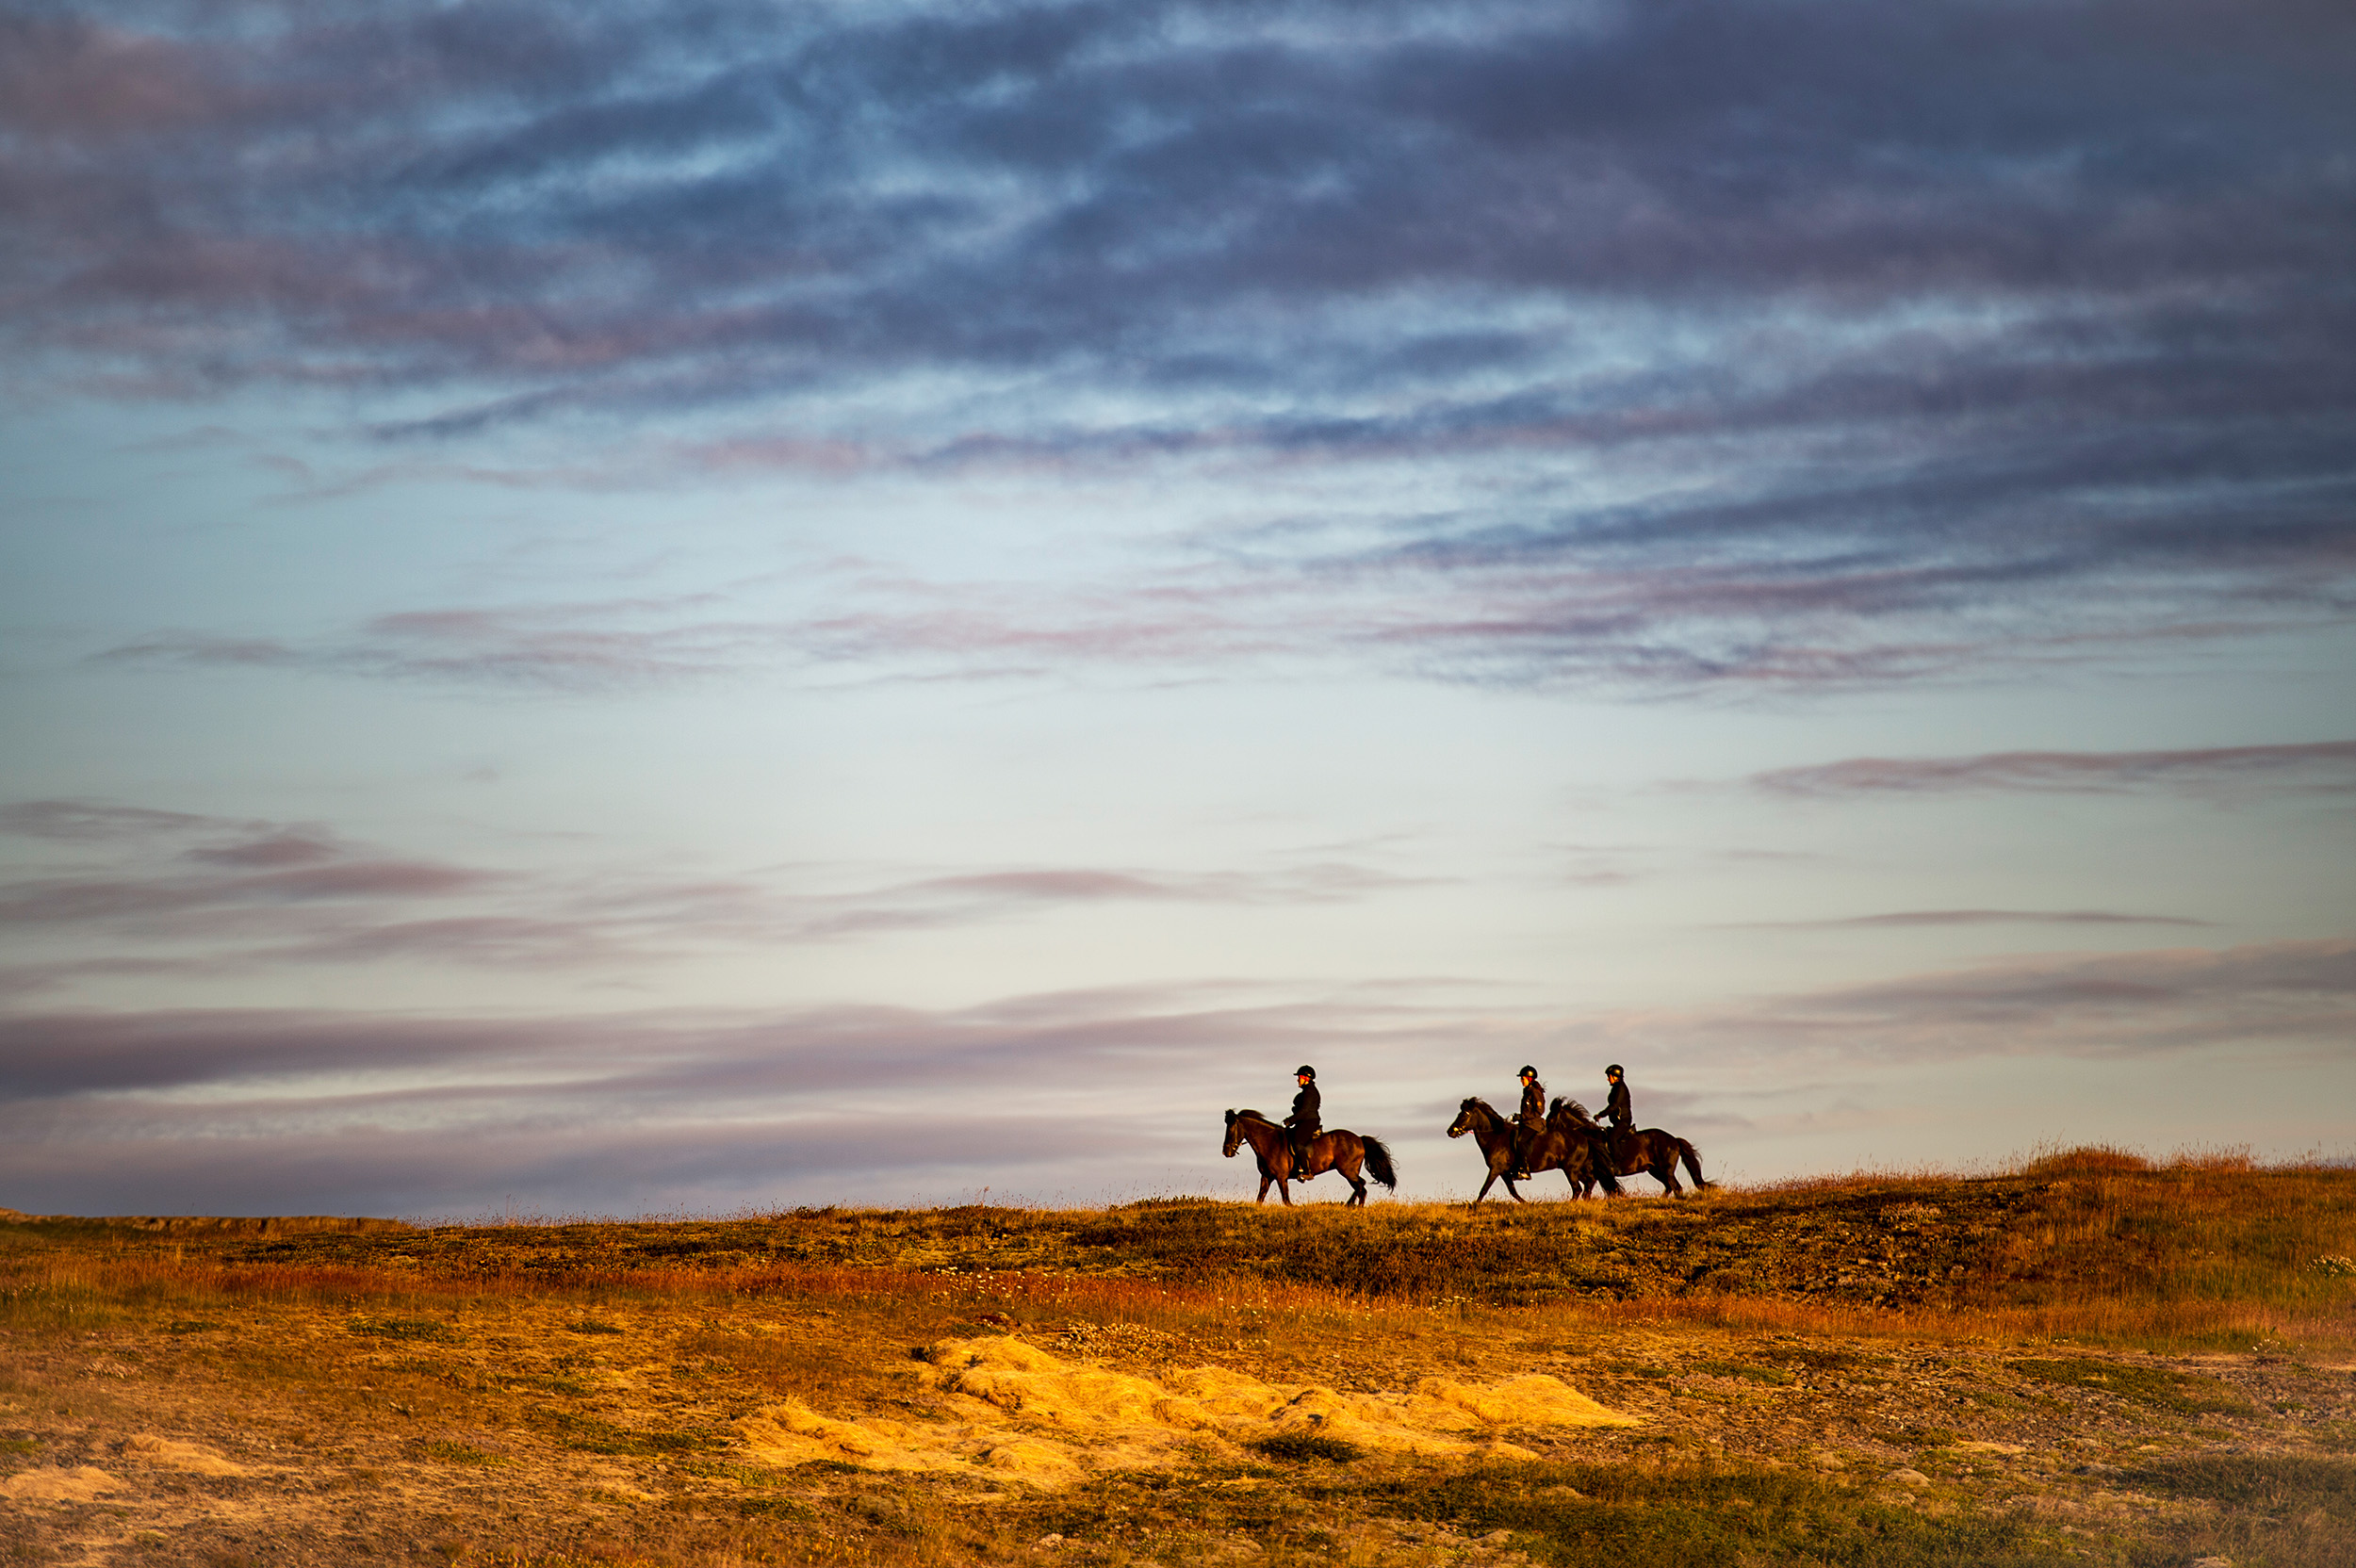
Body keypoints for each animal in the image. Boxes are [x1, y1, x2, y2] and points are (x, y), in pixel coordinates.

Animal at [1222, 1109, 1397, 1207]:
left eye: (1231, 1128)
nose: (1226, 1152)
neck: (1269, 1142)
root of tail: (1359, 1139)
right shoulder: (1267, 1176)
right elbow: (1260, 1199)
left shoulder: (1280, 1177)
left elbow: (1286, 1201)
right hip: (1348, 1171)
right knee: (1360, 1187)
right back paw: (1349, 1205)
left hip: (1347, 1170)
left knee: (1361, 1186)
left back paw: (1355, 1207)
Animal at [1445, 1097, 1614, 1203]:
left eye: (1465, 1114)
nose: (1450, 1132)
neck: (1496, 1136)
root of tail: (1584, 1136)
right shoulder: (1504, 1171)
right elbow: (1513, 1192)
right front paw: (1527, 1203)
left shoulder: (1496, 1168)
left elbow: (1484, 1188)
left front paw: (1474, 1206)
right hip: (1578, 1168)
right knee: (1589, 1182)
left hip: (1570, 1168)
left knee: (1578, 1188)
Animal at [1552, 1095, 1709, 1196]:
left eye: (1551, 1119)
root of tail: (1674, 1140)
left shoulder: (1596, 1174)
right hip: (1655, 1170)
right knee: (1669, 1187)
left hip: (1666, 1170)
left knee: (1676, 1188)